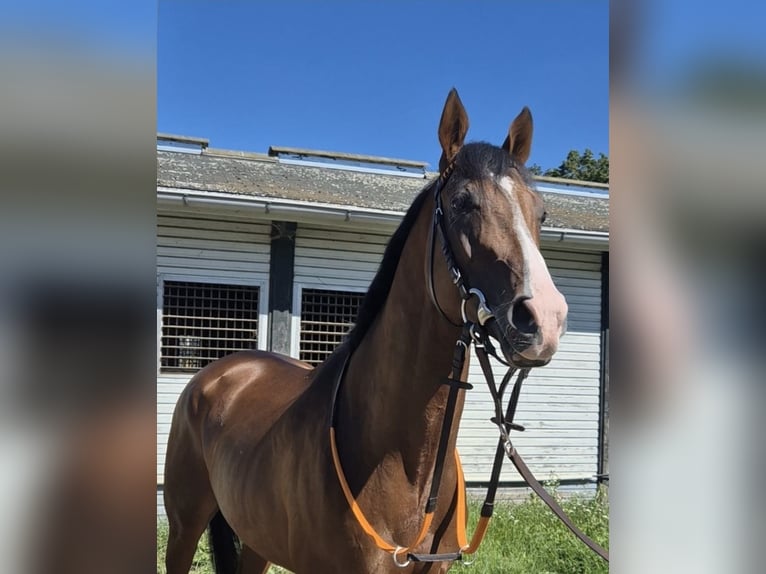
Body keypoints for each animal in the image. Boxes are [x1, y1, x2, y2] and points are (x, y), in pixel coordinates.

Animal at [163, 88, 568, 574]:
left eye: (541, 213)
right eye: (461, 203)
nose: (544, 317)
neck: (402, 467)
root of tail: (214, 374)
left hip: (257, 540)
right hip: (184, 528)